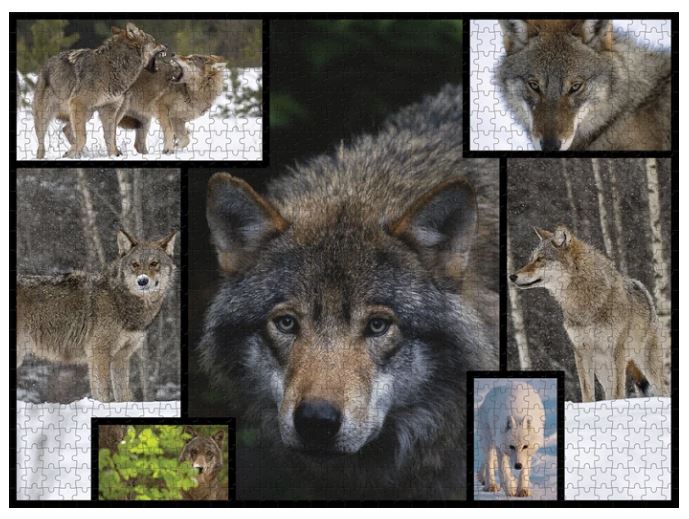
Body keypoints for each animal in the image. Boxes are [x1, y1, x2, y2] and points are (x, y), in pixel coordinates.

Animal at [17, 229, 177, 402]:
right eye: (135, 265)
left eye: (154, 263)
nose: (142, 281)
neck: (120, 300)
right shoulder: (99, 352)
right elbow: (103, 393)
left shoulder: (121, 357)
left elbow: (123, 395)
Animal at [32, 23, 167, 159]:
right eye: (154, 41)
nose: (165, 46)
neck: (115, 66)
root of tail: (46, 64)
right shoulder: (79, 103)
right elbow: (83, 138)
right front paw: (71, 153)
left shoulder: (109, 110)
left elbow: (110, 138)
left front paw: (113, 155)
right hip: (47, 116)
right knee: (41, 144)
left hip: (87, 113)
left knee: (66, 129)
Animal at [510, 226, 668, 402]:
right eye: (531, 259)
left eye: (540, 259)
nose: (512, 276)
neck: (583, 302)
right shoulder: (581, 351)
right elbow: (587, 391)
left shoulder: (617, 350)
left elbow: (618, 392)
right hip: (603, 368)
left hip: (647, 365)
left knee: (662, 389)